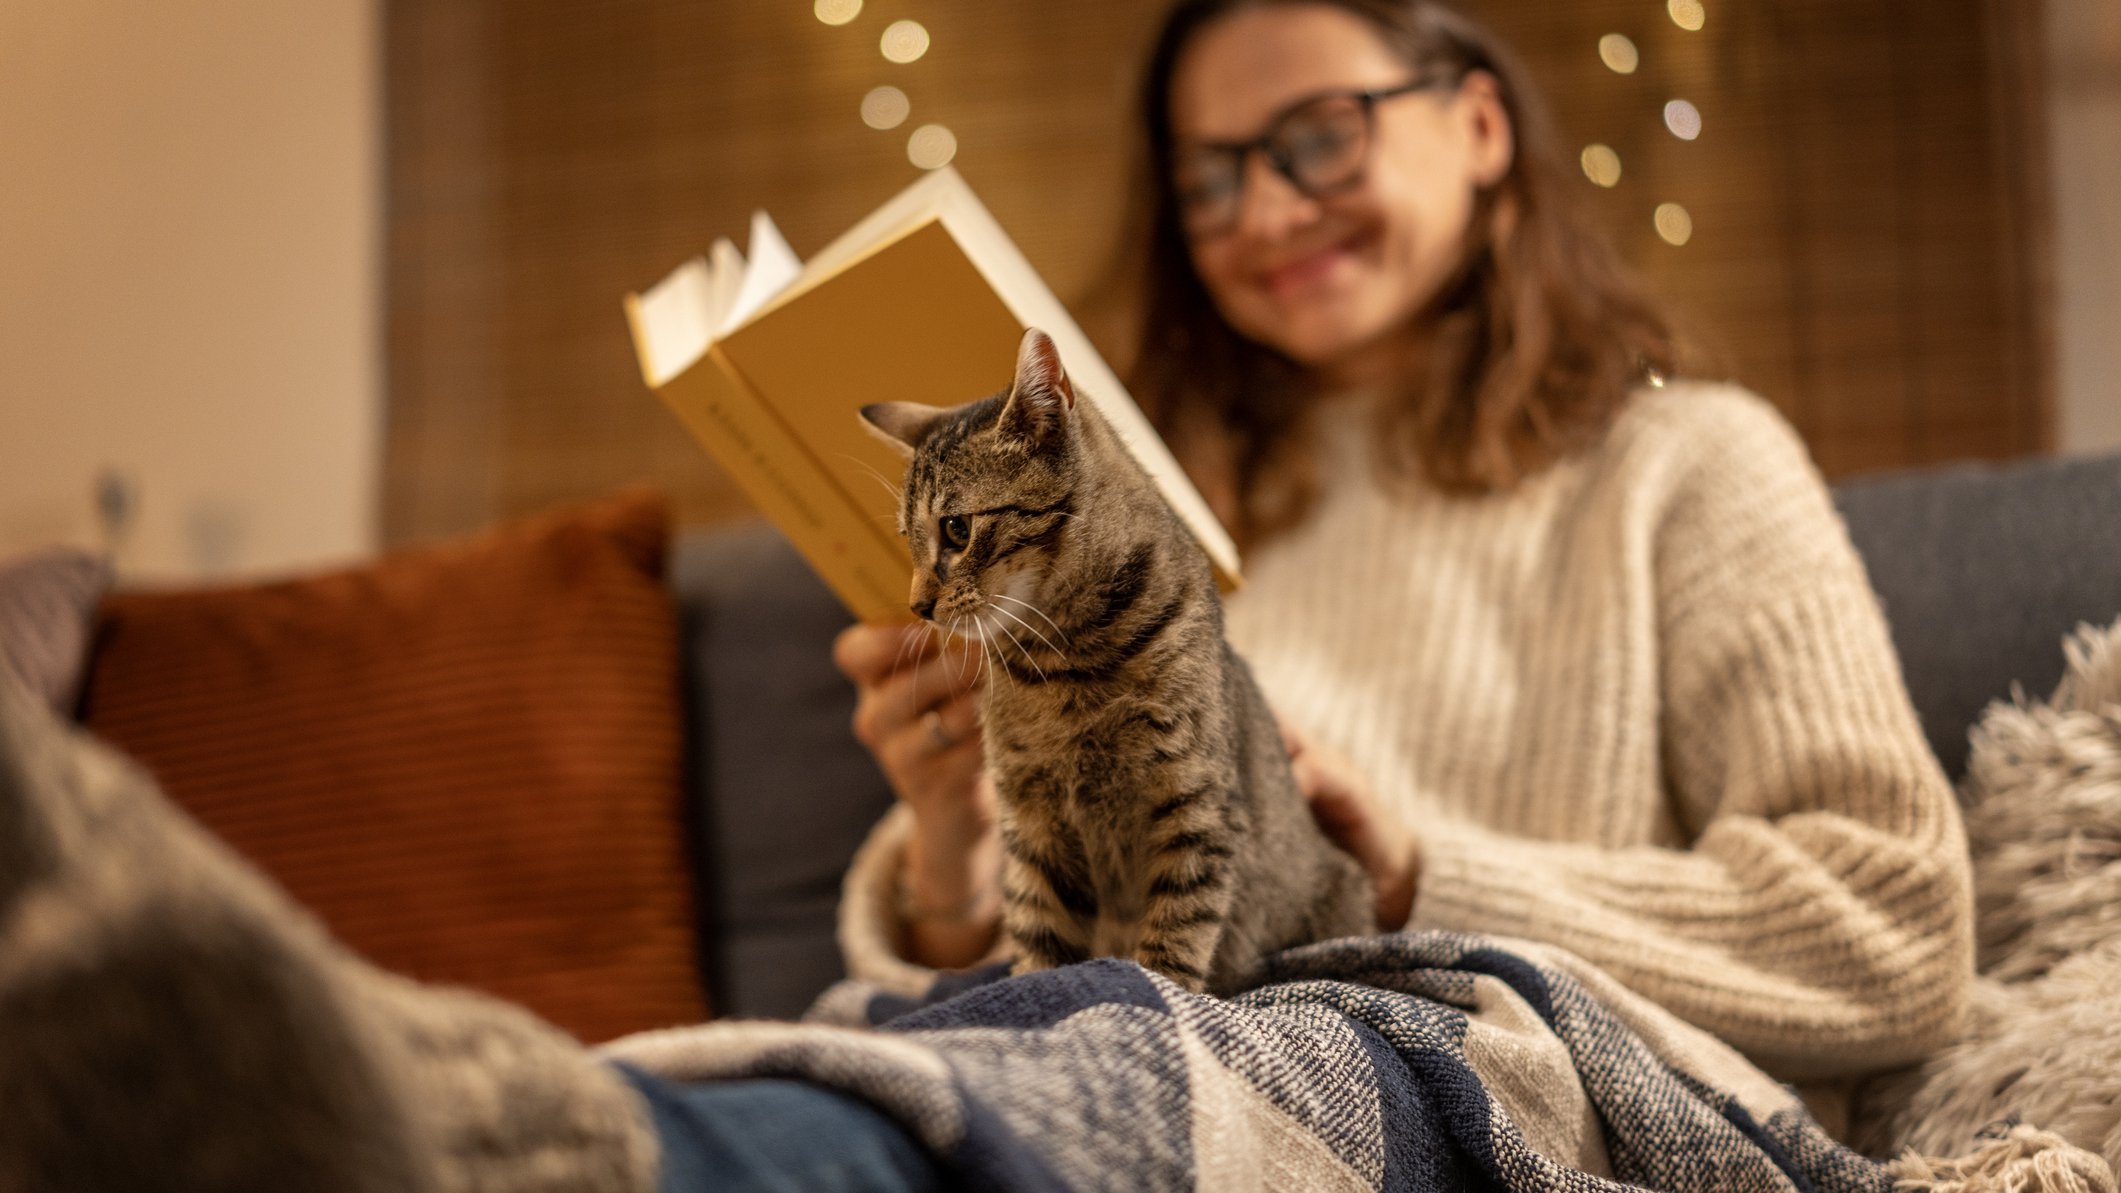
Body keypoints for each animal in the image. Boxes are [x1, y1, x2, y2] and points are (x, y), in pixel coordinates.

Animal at [861, 326, 1374, 993]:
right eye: (908, 542)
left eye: (955, 529)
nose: (918, 606)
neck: (1062, 660)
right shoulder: (1032, 820)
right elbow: (1036, 928)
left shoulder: (1195, 807)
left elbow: (1176, 934)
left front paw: (1158, 991)